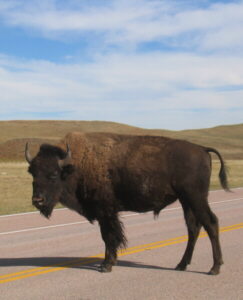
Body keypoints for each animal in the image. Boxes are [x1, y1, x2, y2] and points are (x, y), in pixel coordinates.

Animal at [24, 132, 228, 274]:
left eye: (53, 174)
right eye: (33, 173)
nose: (37, 200)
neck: (76, 164)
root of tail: (202, 149)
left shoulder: (105, 212)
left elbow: (109, 237)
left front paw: (106, 265)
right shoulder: (108, 213)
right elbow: (110, 237)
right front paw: (109, 262)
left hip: (196, 198)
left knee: (211, 223)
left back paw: (214, 268)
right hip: (186, 201)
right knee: (193, 228)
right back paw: (181, 265)